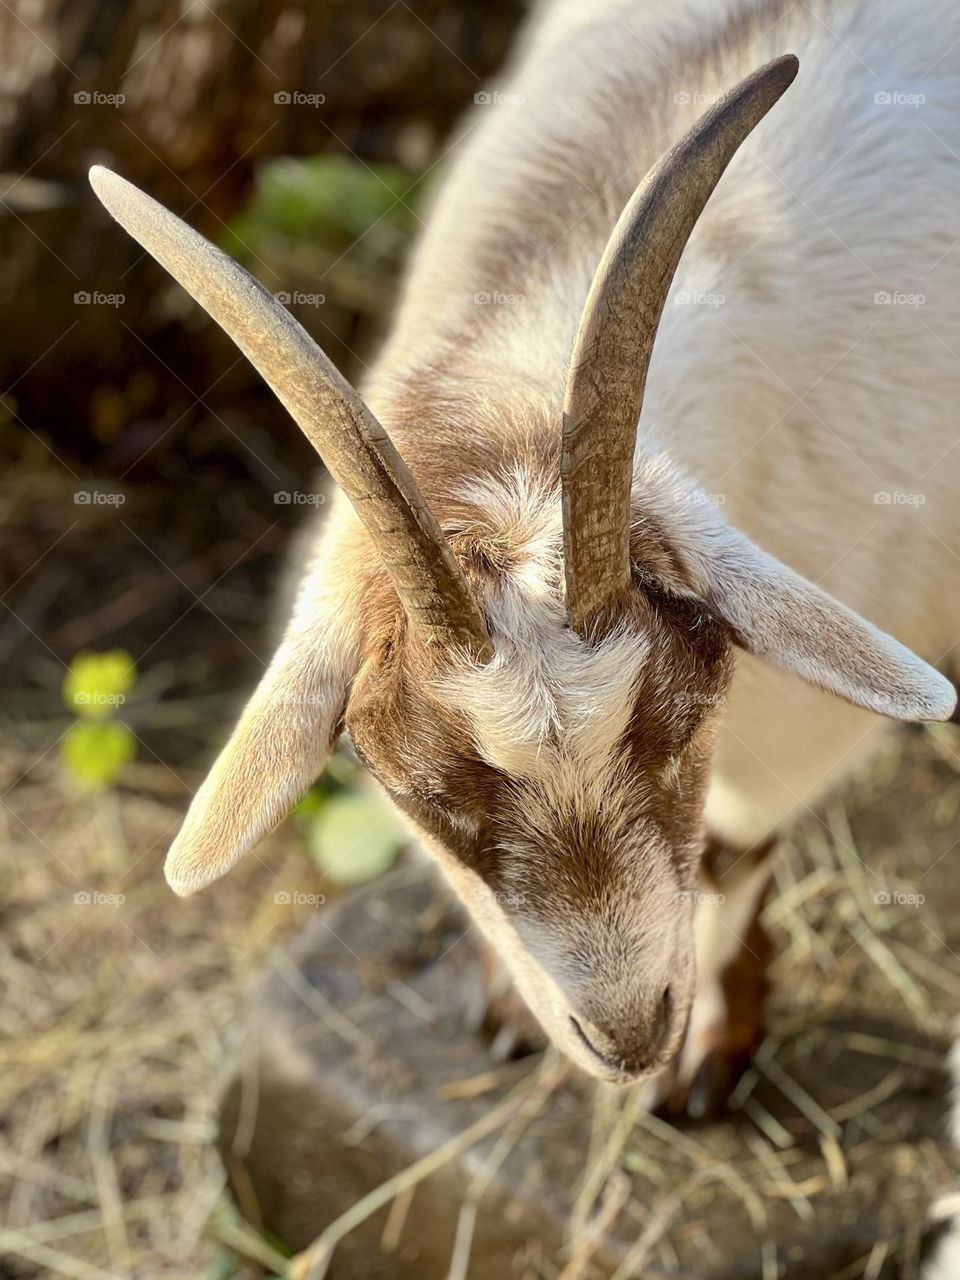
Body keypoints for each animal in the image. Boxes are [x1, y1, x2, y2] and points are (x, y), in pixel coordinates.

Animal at [90, 0, 960, 1111]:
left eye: (679, 730)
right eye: (426, 797)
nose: (630, 1036)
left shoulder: (799, 723)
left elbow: (732, 845)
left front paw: (707, 1051)